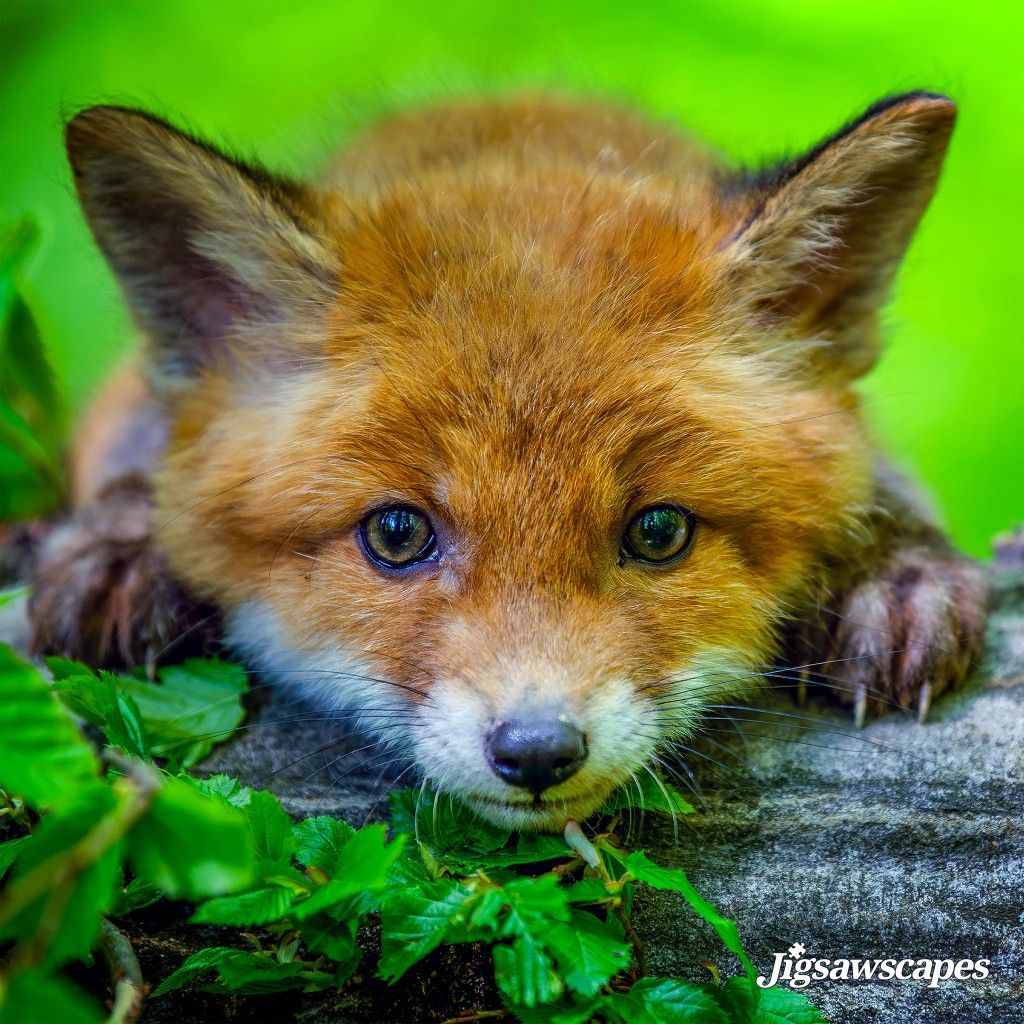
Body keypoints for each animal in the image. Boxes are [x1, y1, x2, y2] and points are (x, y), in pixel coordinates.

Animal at [29, 92, 989, 831]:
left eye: (660, 532)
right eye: (397, 533)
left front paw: (889, 569)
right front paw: (124, 546)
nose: (536, 752)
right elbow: (140, 471)